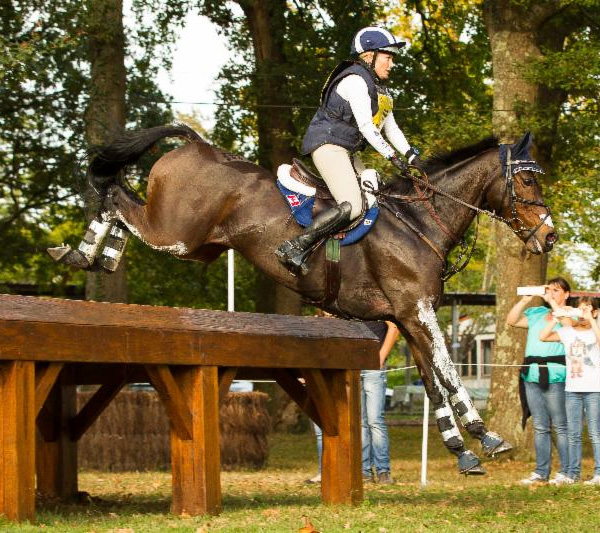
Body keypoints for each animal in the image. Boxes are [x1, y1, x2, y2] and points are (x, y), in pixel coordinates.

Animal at [48, 124, 556, 474]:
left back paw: (88, 256)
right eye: (528, 182)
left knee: (120, 200)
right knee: (115, 196)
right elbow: (450, 374)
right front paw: (487, 436)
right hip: (175, 232)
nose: (549, 238)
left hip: (196, 245)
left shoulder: (408, 318)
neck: (419, 222)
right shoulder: (416, 310)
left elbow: (434, 383)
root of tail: (196, 144)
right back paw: (84, 253)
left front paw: (462, 452)